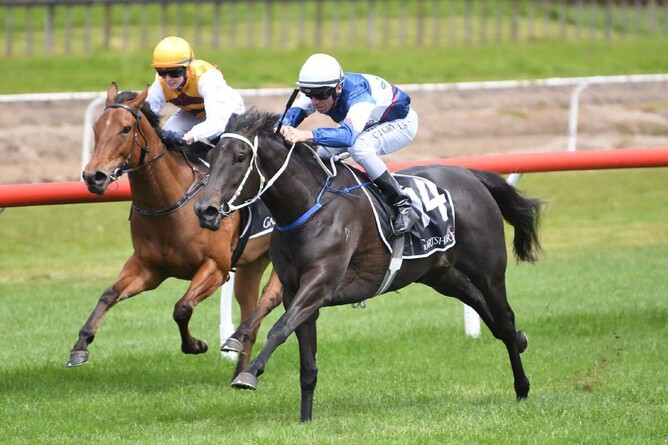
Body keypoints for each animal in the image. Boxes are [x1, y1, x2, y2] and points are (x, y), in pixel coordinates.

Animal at [70, 83, 283, 377]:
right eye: (96, 128)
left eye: (125, 128)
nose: (94, 176)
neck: (170, 203)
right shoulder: (149, 268)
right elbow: (108, 294)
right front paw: (81, 345)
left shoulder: (216, 267)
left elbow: (181, 308)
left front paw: (196, 345)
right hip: (252, 262)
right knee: (249, 307)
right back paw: (240, 366)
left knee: (270, 297)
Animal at [194, 108, 544, 422]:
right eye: (212, 156)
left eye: (240, 157)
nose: (204, 210)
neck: (309, 207)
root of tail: (472, 175)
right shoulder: (296, 292)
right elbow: (307, 363)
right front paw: (305, 420)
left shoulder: (318, 285)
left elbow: (279, 329)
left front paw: (249, 374)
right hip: (441, 274)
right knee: (485, 311)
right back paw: (521, 341)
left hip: (489, 272)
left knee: (505, 318)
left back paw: (522, 386)